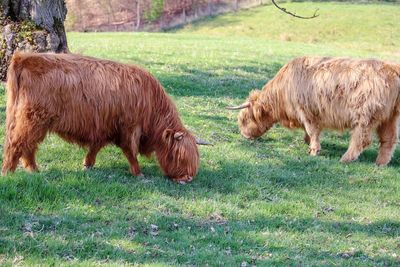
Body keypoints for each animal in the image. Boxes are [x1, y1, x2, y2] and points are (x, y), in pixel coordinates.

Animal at [1, 52, 209, 182]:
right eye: (178, 156)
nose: (187, 178)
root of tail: (24, 57)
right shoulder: (128, 128)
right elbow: (130, 152)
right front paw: (138, 173)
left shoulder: (103, 128)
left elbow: (95, 148)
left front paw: (87, 165)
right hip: (33, 119)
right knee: (17, 143)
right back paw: (8, 173)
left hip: (33, 122)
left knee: (28, 146)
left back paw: (34, 170)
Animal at [228, 56, 400, 165]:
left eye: (244, 119)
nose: (244, 136)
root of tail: (392, 68)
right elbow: (309, 132)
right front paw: (308, 143)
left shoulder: (306, 111)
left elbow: (312, 131)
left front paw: (314, 151)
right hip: (390, 116)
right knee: (389, 139)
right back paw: (380, 163)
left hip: (365, 115)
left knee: (361, 139)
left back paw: (345, 159)